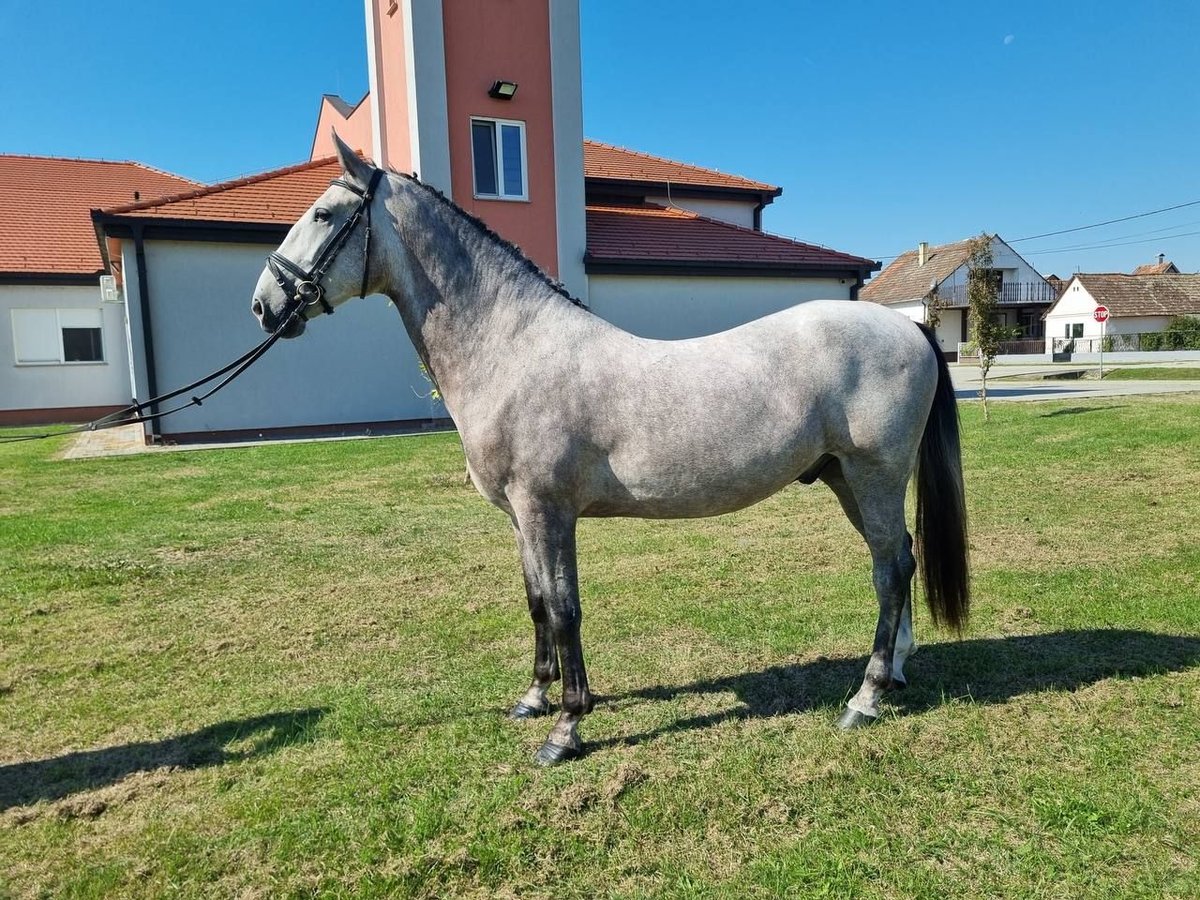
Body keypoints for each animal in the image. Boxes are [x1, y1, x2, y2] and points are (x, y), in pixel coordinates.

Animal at [248, 135, 969, 768]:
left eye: (323, 214)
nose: (264, 304)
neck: (514, 350)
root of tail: (909, 329)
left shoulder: (548, 512)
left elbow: (566, 610)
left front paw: (566, 729)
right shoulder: (522, 519)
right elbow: (538, 603)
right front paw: (534, 698)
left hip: (874, 475)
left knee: (890, 571)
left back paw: (865, 698)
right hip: (846, 480)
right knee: (898, 559)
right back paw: (895, 673)